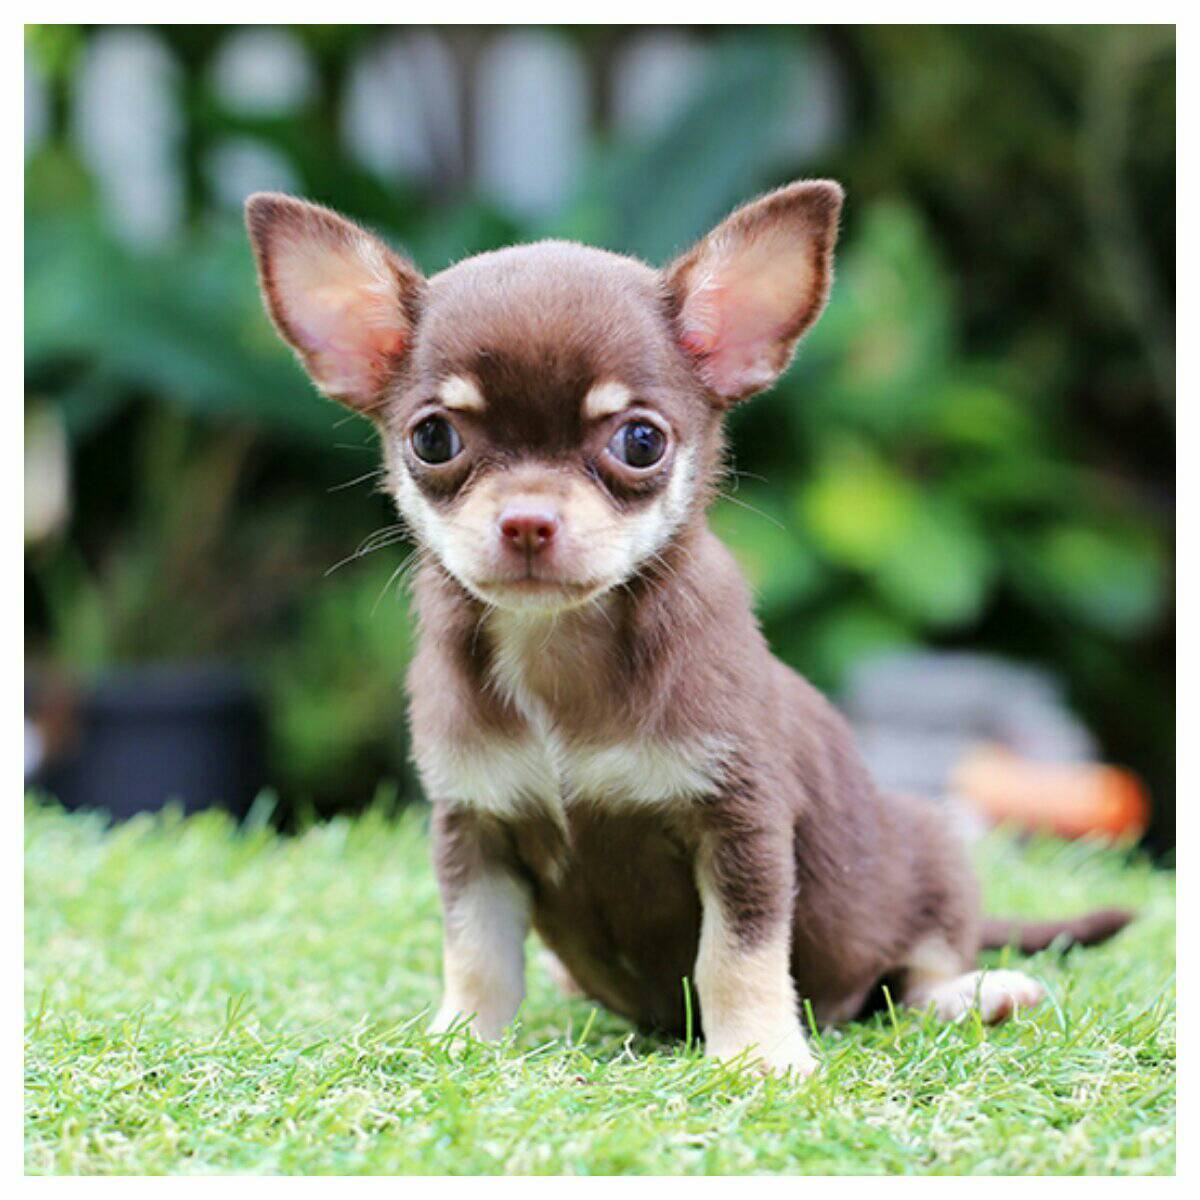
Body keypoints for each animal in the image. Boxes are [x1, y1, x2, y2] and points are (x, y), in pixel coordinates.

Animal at [247, 182, 1131, 1075]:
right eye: (434, 437)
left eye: (640, 441)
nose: (527, 521)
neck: (561, 647)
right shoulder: (476, 831)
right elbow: (477, 951)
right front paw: (462, 1037)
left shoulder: (740, 825)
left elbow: (736, 955)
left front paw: (760, 1056)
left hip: (930, 852)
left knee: (917, 969)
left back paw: (974, 992)